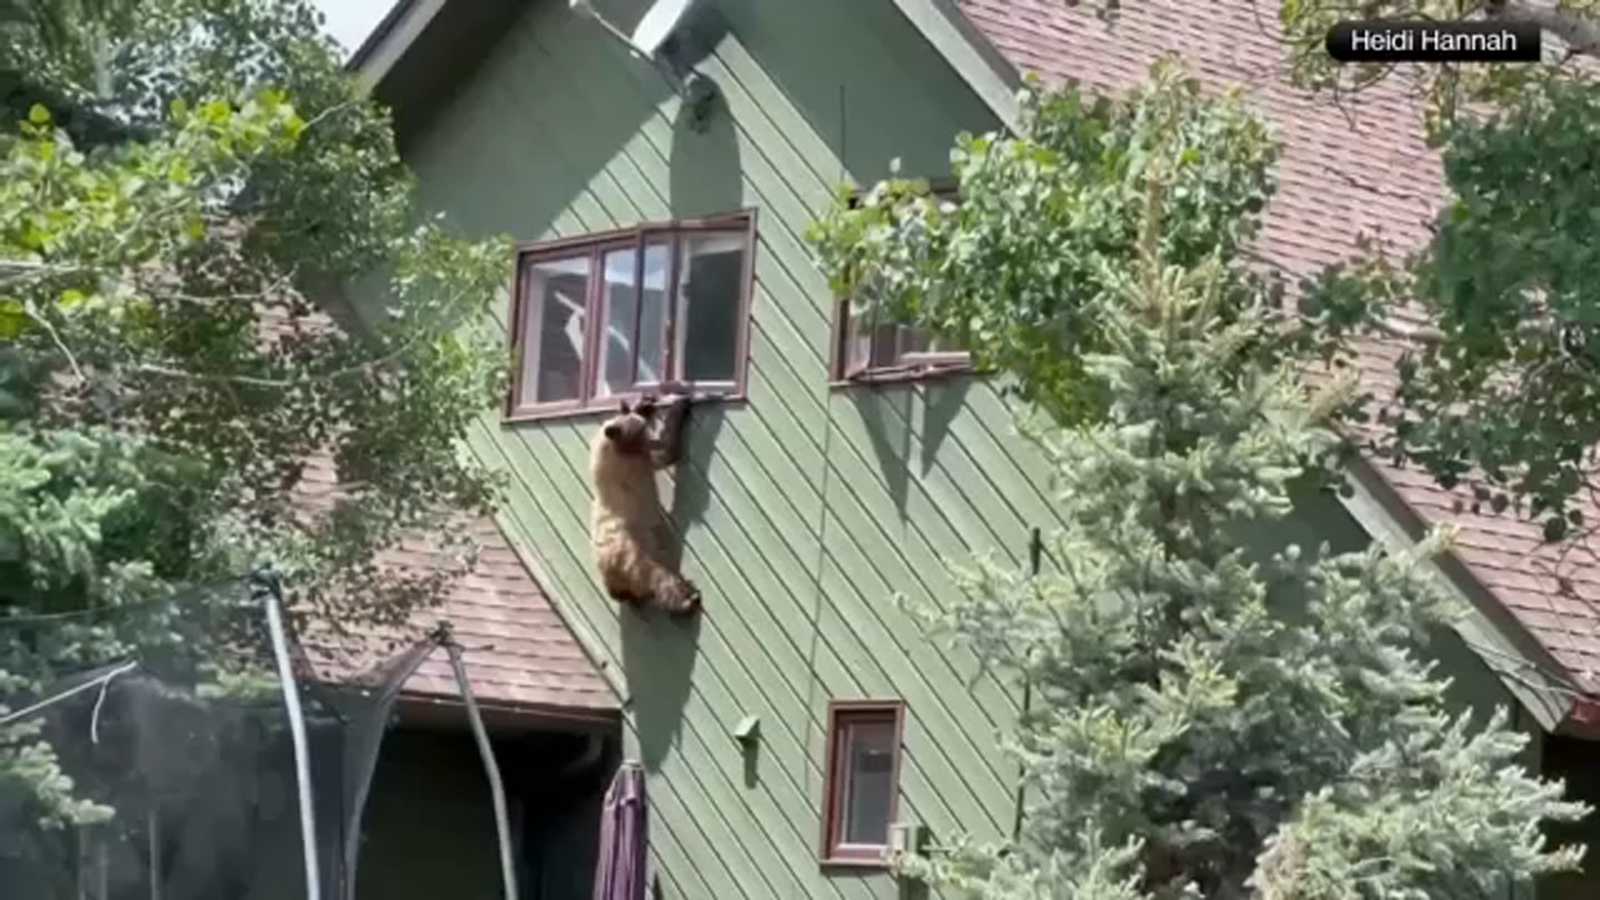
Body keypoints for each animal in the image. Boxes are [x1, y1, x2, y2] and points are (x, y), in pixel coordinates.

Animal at [588, 393, 701, 616]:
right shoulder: (632, 462)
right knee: (657, 576)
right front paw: (680, 406)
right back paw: (687, 600)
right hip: (632, 552)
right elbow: (665, 455)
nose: (650, 438)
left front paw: (643, 404)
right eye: (640, 432)